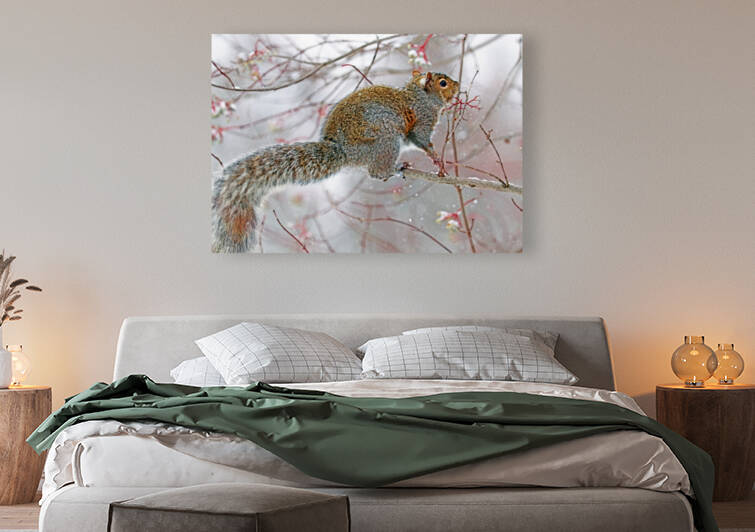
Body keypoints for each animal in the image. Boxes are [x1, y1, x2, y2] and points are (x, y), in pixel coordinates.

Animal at [212, 71, 459, 252]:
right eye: (443, 83)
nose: (458, 85)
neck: (421, 96)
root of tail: (344, 151)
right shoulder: (422, 121)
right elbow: (422, 140)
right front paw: (435, 156)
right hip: (386, 143)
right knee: (376, 171)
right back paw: (396, 168)